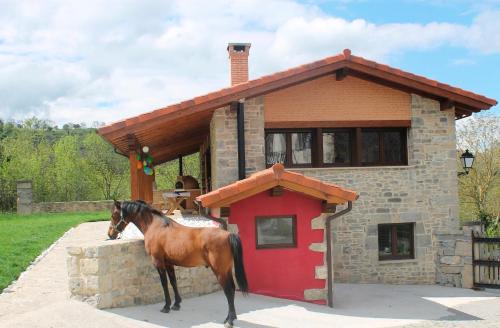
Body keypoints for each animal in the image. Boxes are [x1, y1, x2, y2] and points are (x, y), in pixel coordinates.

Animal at [107, 200, 248, 328]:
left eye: (114, 215)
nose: (110, 234)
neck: (155, 226)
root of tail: (228, 234)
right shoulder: (169, 263)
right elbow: (173, 282)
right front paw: (176, 304)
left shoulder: (158, 262)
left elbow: (164, 283)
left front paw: (166, 306)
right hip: (226, 270)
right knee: (232, 289)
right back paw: (229, 318)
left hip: (220, 271)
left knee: (229, 291)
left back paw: (230, 320)